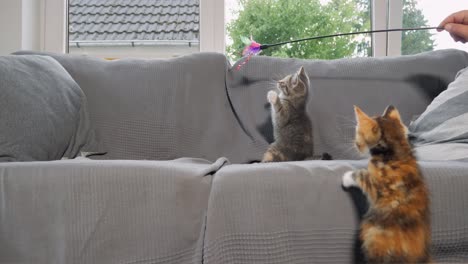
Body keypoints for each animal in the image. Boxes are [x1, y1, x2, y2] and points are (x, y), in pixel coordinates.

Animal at [340, 105, 432, 264]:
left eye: (358, 133)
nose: (355, 144)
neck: (399, 151)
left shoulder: (379, 186)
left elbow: (362, 174)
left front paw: (346, 177)